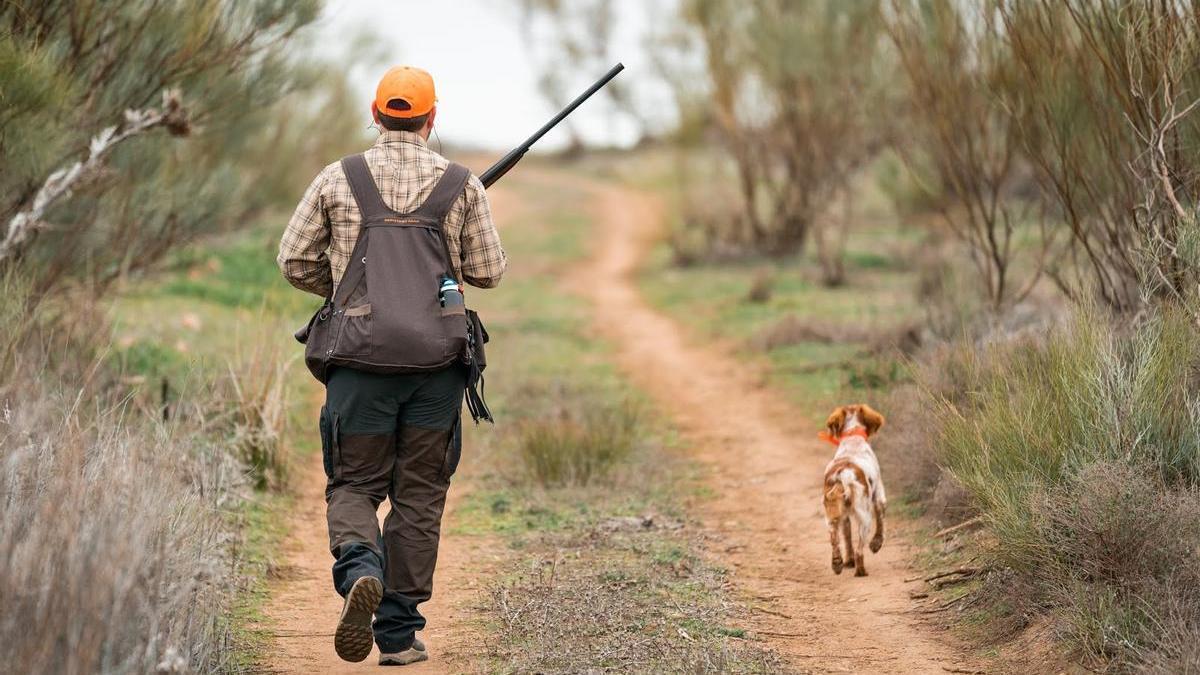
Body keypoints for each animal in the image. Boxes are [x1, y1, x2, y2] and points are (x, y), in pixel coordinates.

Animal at [820, 401, 888, 576]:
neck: (852, 438)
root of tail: (843, 474)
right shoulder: (879, 496)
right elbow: (881, 522)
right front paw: (876, 544)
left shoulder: (843, 516)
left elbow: (847, 536)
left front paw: (848, 561)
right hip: (865, 517)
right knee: (859, 550)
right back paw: (861, 571)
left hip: (831, 517)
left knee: (835, 541)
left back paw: (837, 564)